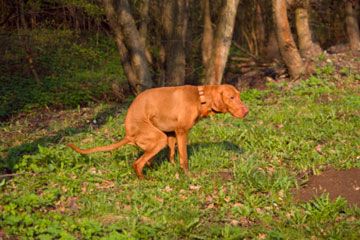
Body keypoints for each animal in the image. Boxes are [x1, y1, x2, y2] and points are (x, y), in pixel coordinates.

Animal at [68, 85, 248, 178]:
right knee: (137, 163)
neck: (199, 97)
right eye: (231, 98)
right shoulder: (181, 132)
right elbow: (184, 158)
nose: (246, 111)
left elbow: (172, 155)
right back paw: (144, 180)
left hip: (159, 138)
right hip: (158, 138)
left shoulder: (172, 134)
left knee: (146, 159)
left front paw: (172, 167)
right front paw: (187, 175)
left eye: (239, 96)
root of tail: (128, 134)